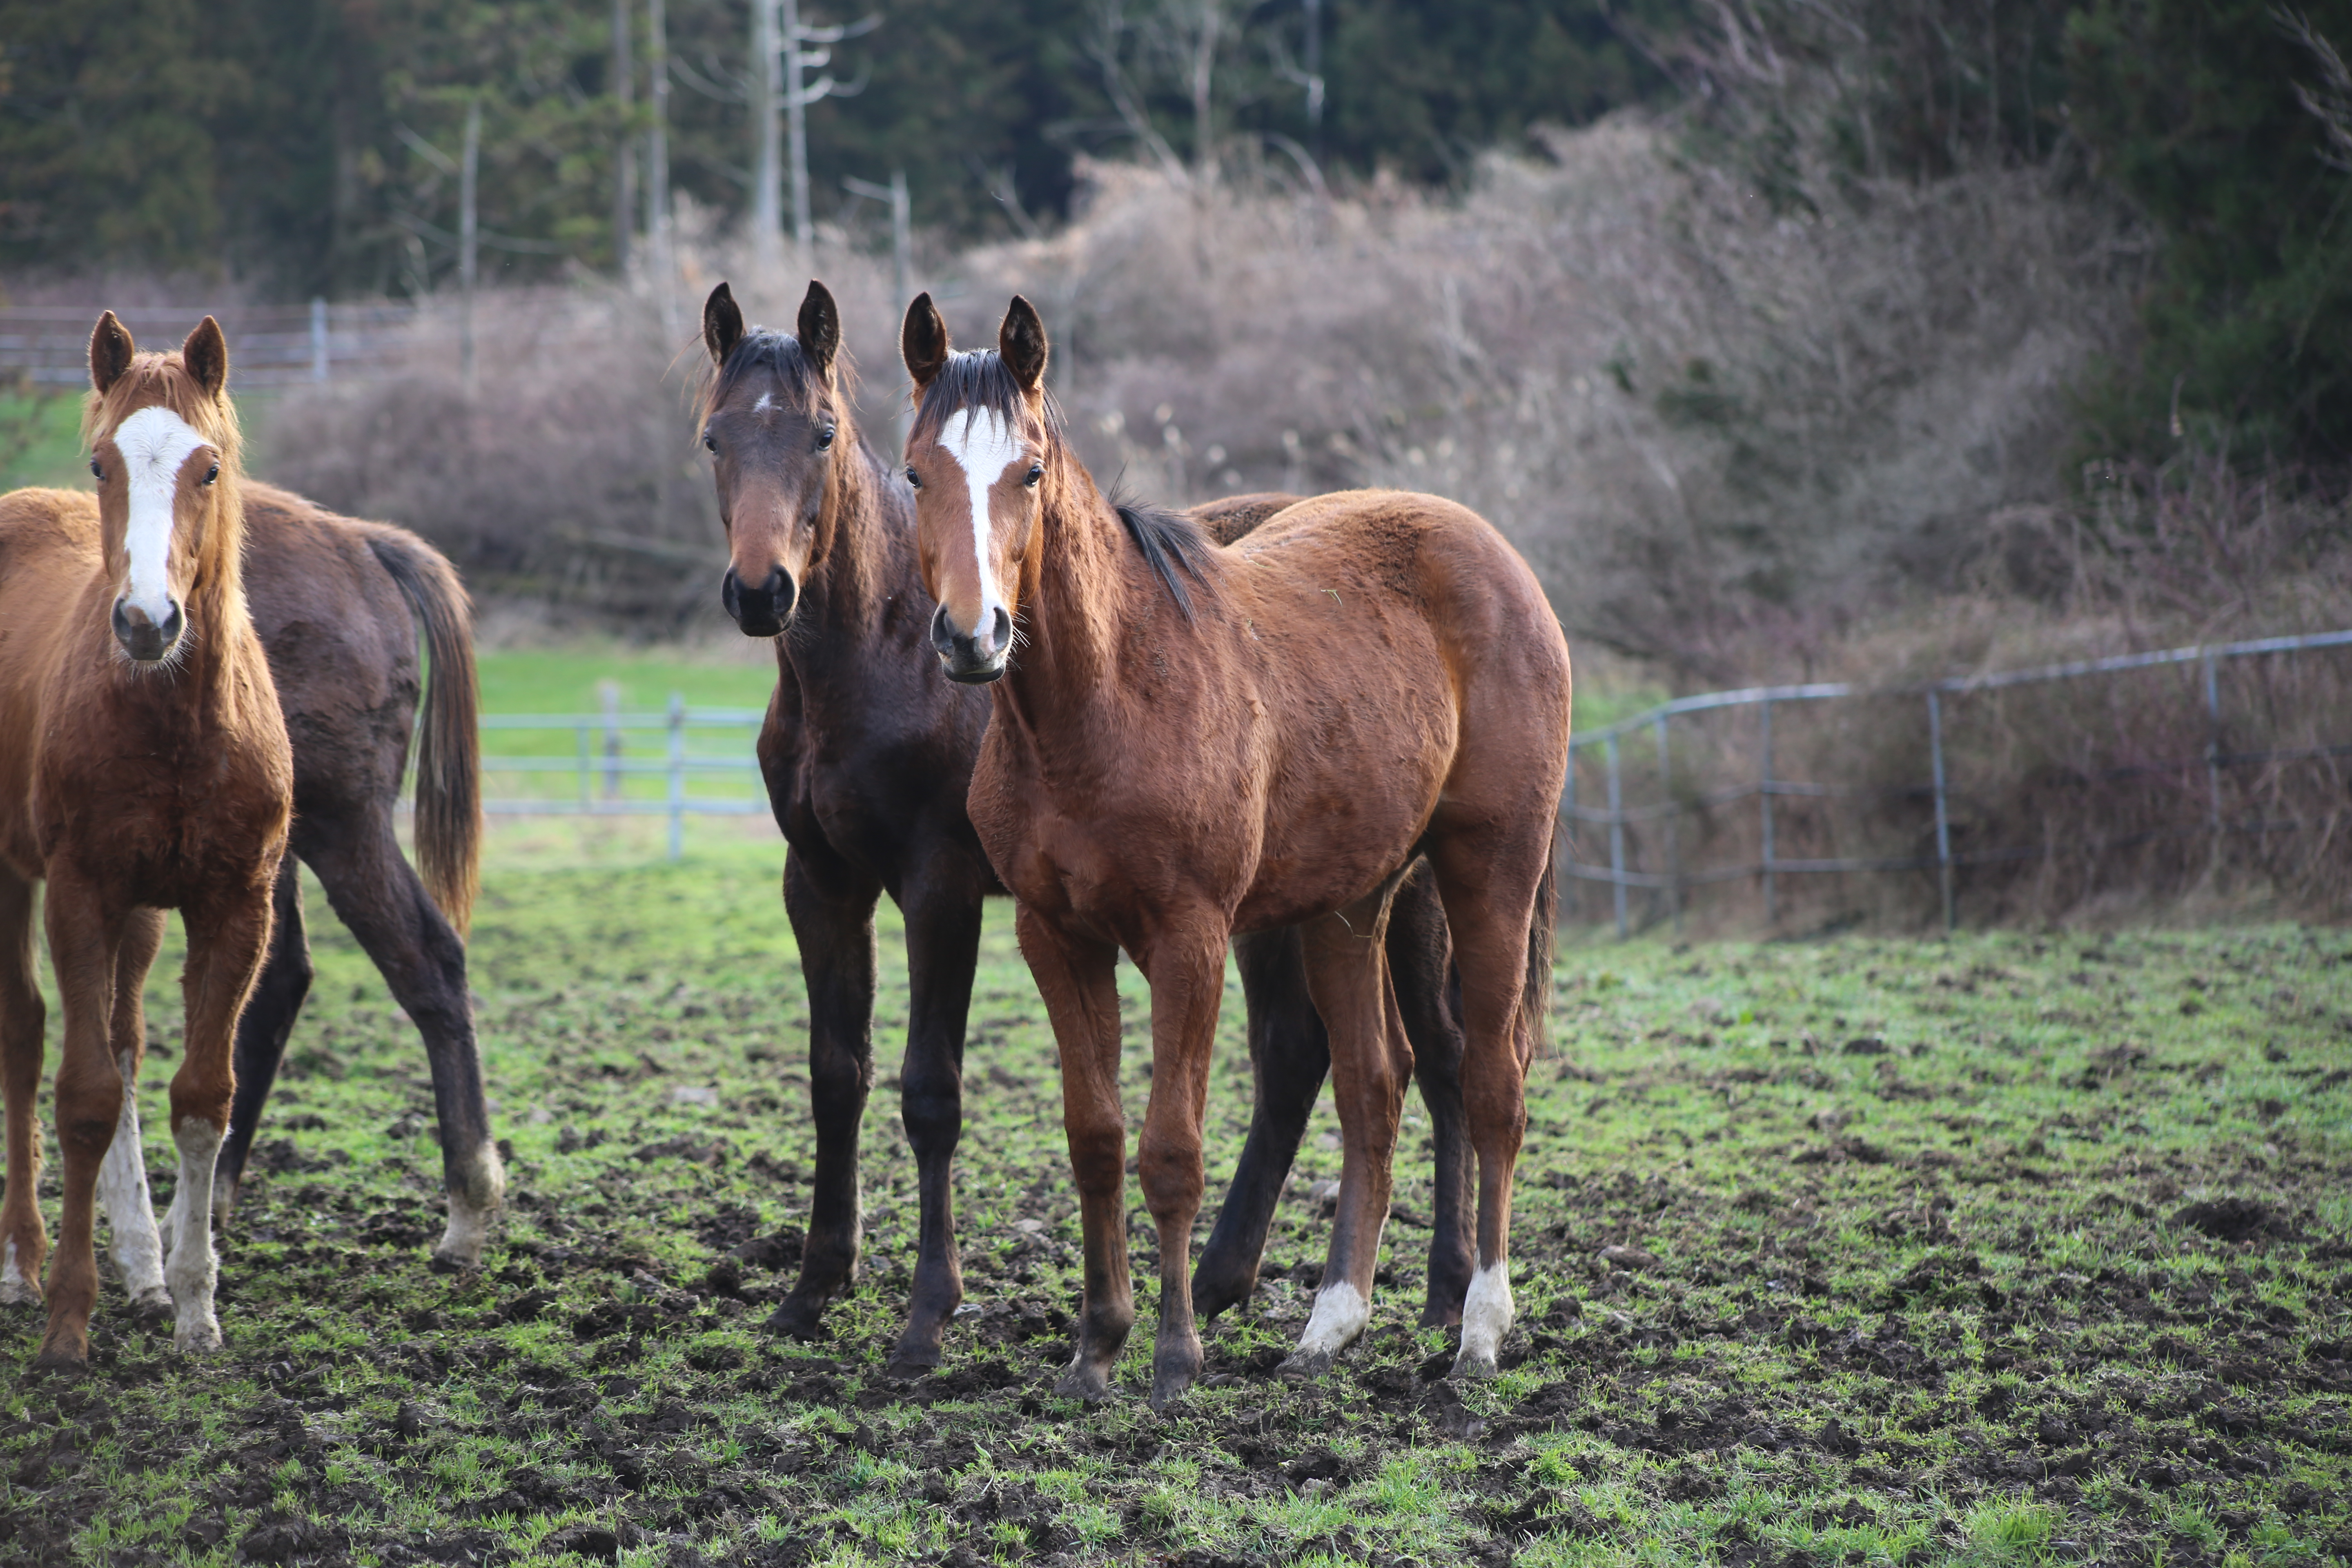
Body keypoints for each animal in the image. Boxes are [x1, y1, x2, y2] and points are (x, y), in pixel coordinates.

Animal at [0, 312, 296, 1363]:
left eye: (209, 467)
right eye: (103, 463)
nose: (145, 621)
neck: (175, 720)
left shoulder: (233, 905)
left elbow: (200, 1095)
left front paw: (197, 1305)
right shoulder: (80, 890)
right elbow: (83, 1096)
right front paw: (67, 1319)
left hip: (142, 913)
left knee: (123, 1037)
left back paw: (142, 1266)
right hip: (17, 878)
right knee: (26, 1035)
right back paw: (23, 1265)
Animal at [686, 282, 1477, 1373]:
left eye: (820, 433)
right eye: (714, 436)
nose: (763, 591)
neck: (875, 655)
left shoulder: (940, 887)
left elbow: (930, 1091)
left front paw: (928, 1314)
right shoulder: (820, 883)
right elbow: (835, 1076)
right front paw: (813, 1287)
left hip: (1409, 892)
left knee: (1439, 1055)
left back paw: (1445, 1290)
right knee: (1297, 1054)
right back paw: (1227, 1279)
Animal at [908, 294, 1571, 1410]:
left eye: (1029, 471)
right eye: (916, 472)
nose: (971, 636)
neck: (1105, 702)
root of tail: (1499, 558)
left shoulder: (1190, 940)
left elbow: (1172, 1151)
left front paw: (1175, 1355)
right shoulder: (1055, 936)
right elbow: (1096, 1139)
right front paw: (1096, 1345)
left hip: (1489, 874)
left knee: (1490, 1085)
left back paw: (1478, 1330)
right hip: (1350, 906)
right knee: (1372, 1090)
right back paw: (1329, 1325)